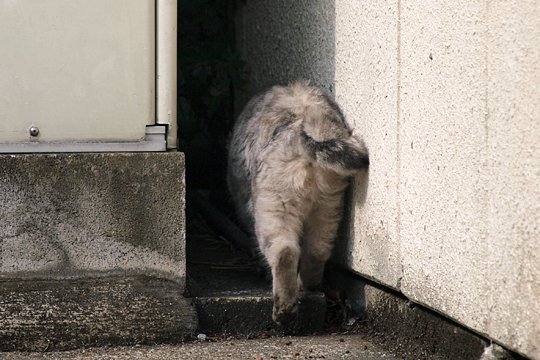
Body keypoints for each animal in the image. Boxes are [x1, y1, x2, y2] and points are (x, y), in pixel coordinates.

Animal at [226, 81, 370, 324]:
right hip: (328, 206)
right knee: (317, 251)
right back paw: (307, 286)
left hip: (275, 205)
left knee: (284, 251)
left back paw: (284, 310)